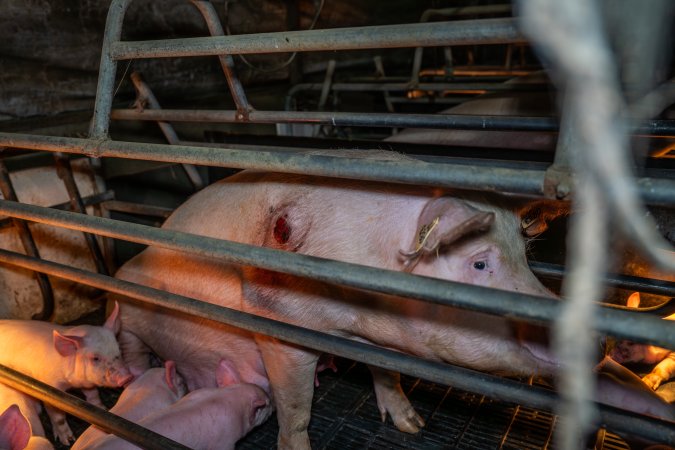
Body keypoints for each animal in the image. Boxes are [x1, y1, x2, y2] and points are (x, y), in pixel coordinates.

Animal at [0, 300, 132, 444]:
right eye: (95, 358)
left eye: (119, 350)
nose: (127, 377)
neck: (72, 383)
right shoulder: (50, 388)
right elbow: (58, 417)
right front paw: (68, 441)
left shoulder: (86, 383)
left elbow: (94, 396)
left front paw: (105, 409)